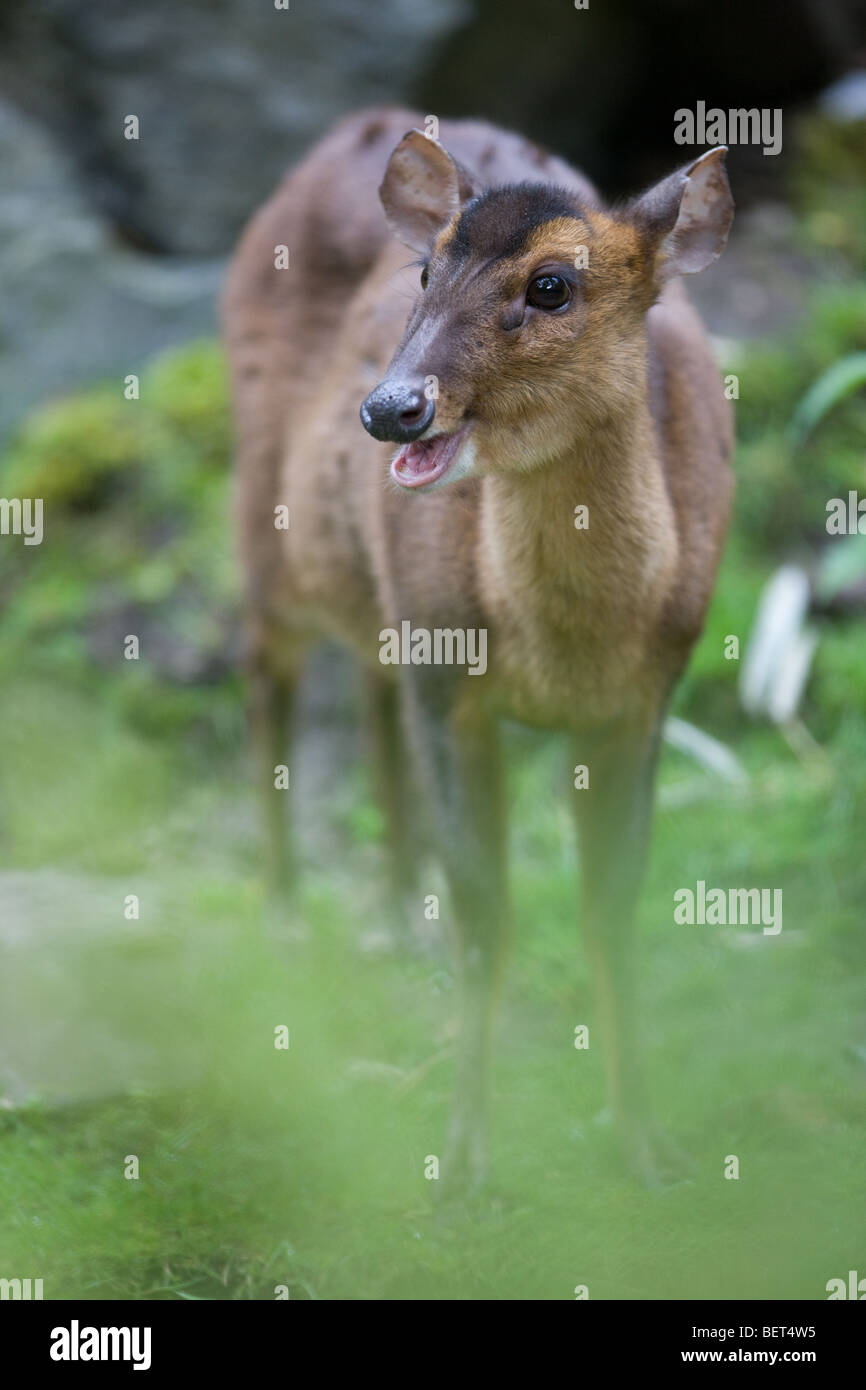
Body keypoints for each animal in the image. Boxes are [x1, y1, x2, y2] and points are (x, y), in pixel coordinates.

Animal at [222, 108, 733, 1195]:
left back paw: (388, 917)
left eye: (552, 285)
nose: (390, 408)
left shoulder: (646, 696)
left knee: (366, 690)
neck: (564, 651)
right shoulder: (450, 674)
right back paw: (284, 913)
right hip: (267, 515)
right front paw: (461, 1160)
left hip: (379, 601)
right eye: (425, 271)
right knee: (265, 672)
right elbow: (485, 910)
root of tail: (348, 129)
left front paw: (647, 1146)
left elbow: (609, 907)